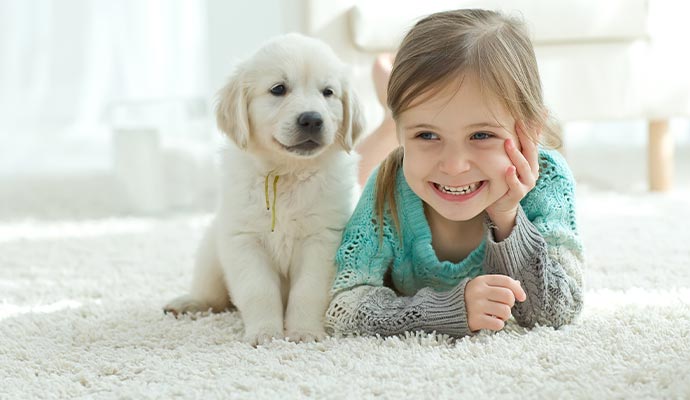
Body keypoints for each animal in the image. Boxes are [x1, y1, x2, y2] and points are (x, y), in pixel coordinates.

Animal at [163, 32, 362, 346]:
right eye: (278, 89)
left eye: (328, 92)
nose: (312, 119)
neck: (286, 173)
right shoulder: (244, 240)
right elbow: (258, 291)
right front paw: (265, 333)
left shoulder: (323, 239)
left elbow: (308, 290)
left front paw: (303, 332)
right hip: (210, 254)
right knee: (213, 296)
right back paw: (188, 303)